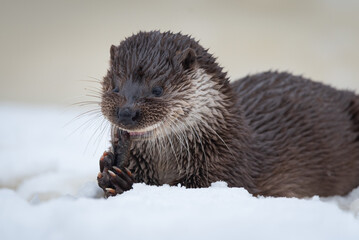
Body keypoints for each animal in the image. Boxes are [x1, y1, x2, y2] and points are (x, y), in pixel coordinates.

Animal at [97, 31, 359, 198]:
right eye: (115, 86)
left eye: (158, 89)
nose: (126, 112)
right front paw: (108, 168)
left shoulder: (225, 168)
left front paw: (122, 181)